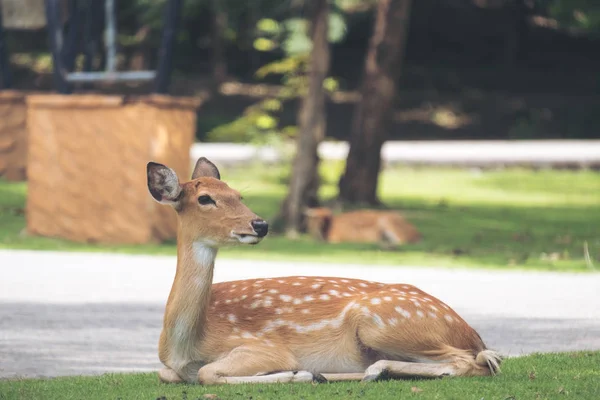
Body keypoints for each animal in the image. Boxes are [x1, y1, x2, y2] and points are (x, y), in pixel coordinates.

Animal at [146, 156, 502, 384]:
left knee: (471, 362)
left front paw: (296, 373)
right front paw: (305, 374)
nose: (260, 224)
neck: (186, 345)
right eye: (205, 198)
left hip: (381, 321)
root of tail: (471, 333)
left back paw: (364, 371)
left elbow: (207, 374)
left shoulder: (263, 347)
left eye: (238, 194)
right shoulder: (169, 366)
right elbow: (166, 374)